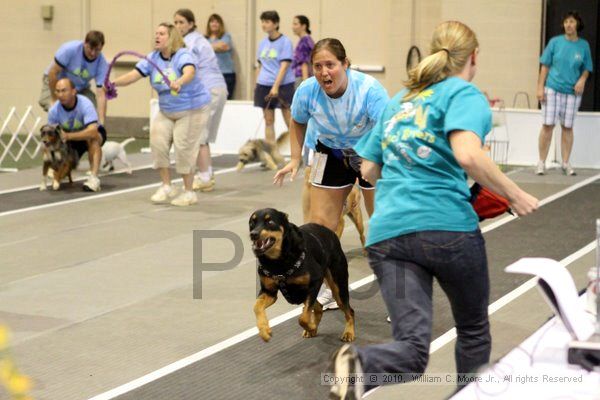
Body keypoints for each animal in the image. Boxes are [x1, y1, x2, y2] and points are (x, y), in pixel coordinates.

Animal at [250, 208, 356, 342]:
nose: (253, 234)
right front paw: (264, 330)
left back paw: (348, 333)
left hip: (337, 287)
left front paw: (311, 326)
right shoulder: (269, 292)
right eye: (252, 223)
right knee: (319, 307)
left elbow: (303, 318)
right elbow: (256, 307)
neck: (278, 261)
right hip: (304, 292)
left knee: (349, 310)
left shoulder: (315, 281)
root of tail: (330, 233)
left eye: (270, 222)